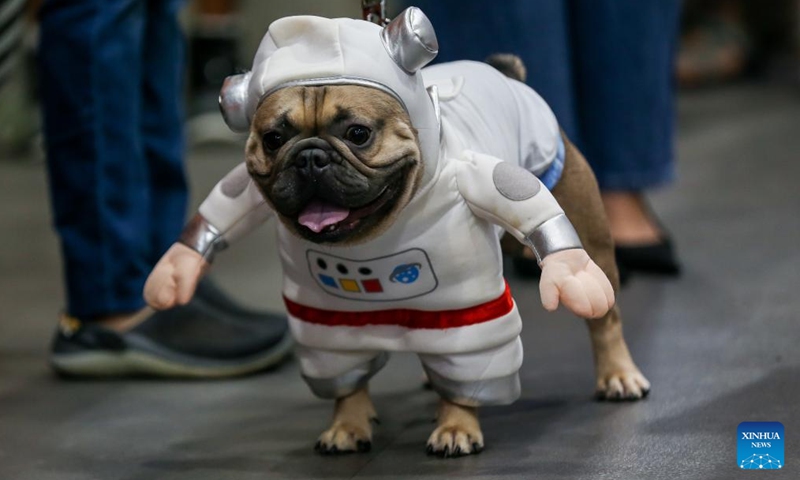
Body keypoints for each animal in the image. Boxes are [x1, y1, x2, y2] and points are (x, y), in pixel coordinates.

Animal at [144, 7, 648, 458]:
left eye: (358, 133)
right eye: (273, 139)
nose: (309, 156)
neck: (372, 237)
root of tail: (504, 74)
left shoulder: (470, 310)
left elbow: (471, 366)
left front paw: (456, 425)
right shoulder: (325, 319)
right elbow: (345, 377)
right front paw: (347, 425)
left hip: (588, 236)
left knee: (605, 319)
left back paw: (617, 374)